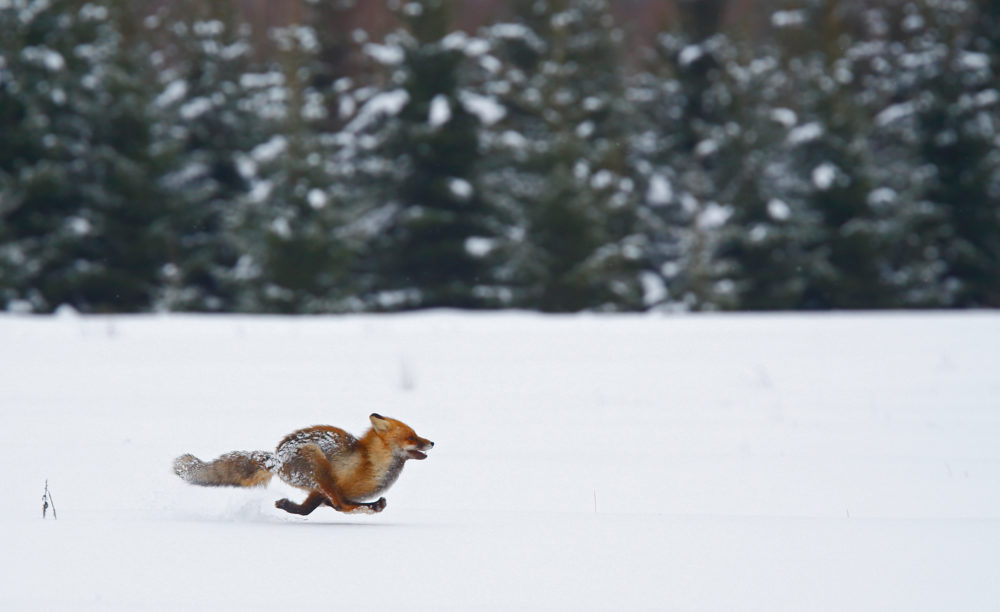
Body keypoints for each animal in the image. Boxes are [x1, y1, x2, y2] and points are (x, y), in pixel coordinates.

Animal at [174, 414, 432, 512]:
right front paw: (368, 506)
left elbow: (316, 507)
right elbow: (340, 504)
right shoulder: (332, 487)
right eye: (411, 437)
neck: (370, 462)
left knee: (315, 507)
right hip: (317, 464)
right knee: (342, 505)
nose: (432, 442)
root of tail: (276, 457)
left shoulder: (318, 492)